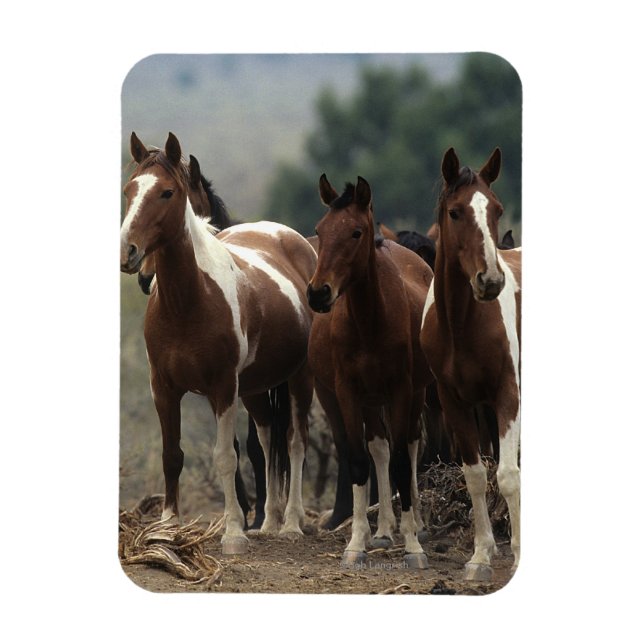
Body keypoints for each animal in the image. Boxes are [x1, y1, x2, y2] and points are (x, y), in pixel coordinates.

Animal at [120, 132, 316, 554]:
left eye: (167, 192)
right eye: (129, 190)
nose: (128, 252)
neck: (188, 301)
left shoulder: (223, 387)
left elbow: (226, 456)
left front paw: (233, 533)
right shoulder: (163, 387)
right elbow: (172, 455)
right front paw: (167, 527)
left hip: (299, 379)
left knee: (295, 442)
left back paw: (292, 523)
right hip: (256, 388)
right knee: (267, 437)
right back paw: (269, 522)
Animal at [307, 175, 434, 568]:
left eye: (356, 232)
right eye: (320, 229)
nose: (318, 293)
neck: (369, 322)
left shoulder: (401, 389)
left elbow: (401, 463)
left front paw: (413, 547)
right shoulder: (347, 392)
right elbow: (361, 460)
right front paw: (356, 544)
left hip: (413, 392)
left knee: (410, 446)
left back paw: (415, 524)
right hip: (363, 399)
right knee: (379, 447)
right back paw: (383, 531)